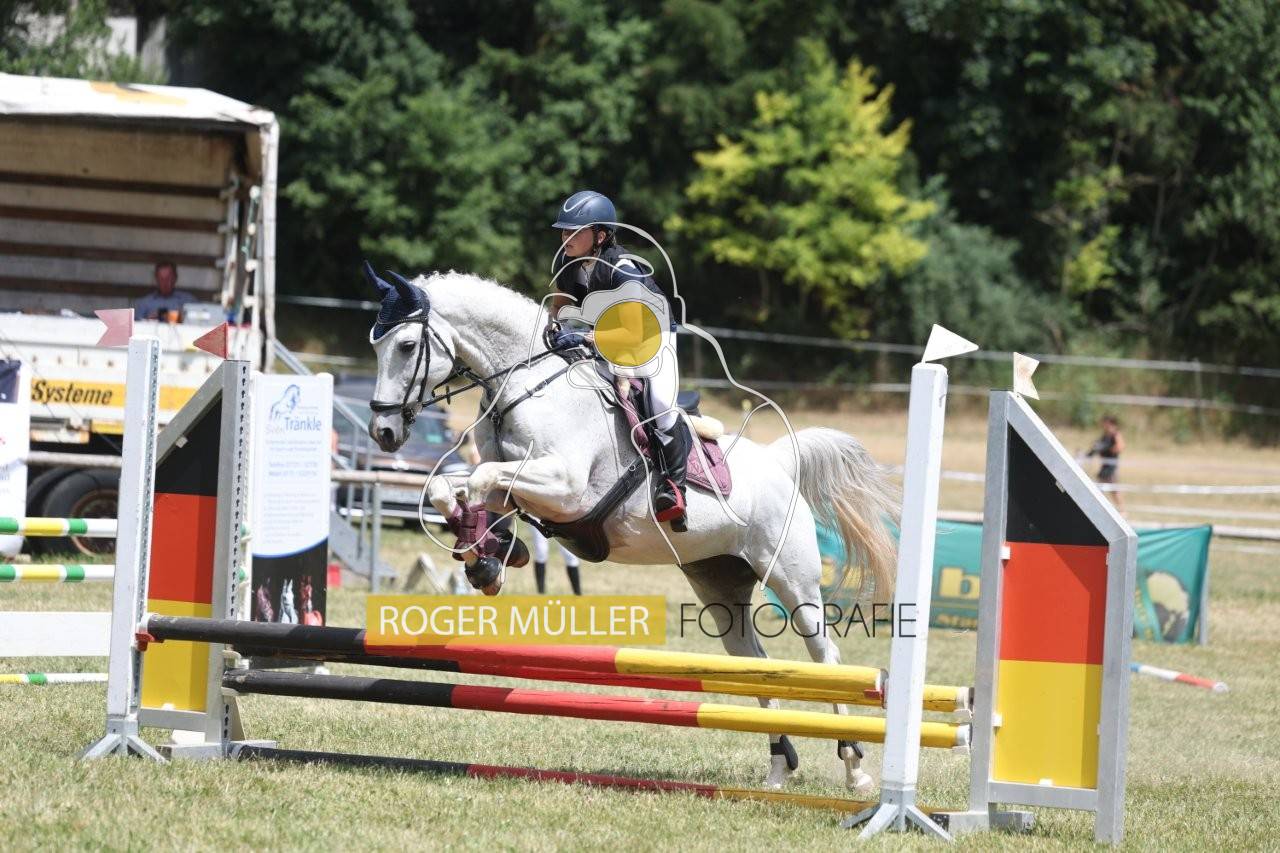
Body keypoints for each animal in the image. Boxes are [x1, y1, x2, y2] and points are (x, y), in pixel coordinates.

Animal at [365, 268, 899, 791]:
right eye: (377, 345)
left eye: (407, 345)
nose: (383, 433)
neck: (525, 384)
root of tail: (777, 463)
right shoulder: (519, 481)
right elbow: (449, 487)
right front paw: (488, 557)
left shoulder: (566, 487)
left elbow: (479, 481)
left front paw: (489, 554)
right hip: (719, 583)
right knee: (756, 665)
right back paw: (778, 771)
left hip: (791, 578)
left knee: (824, 654)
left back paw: (855, 767)